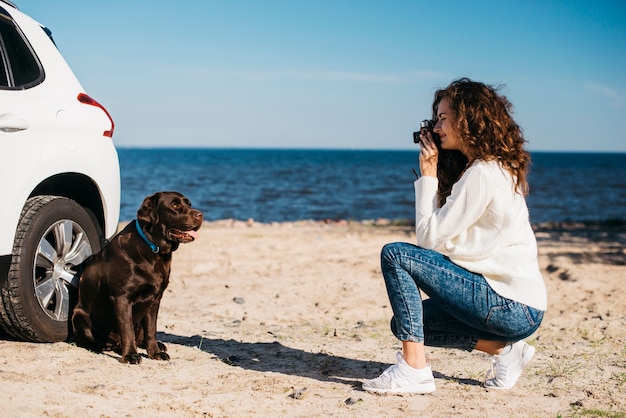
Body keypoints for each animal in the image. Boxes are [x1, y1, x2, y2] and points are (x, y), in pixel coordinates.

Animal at [72, 191, 202, 364]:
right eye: (174, 205)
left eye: (188, 204)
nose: (200, 215)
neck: (154, 249)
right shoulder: (122, 298)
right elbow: (127, 330)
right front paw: (130, 355)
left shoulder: (155, 299)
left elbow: (151, 330)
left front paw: (155, 353)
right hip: (79, 317)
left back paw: (158, 345)